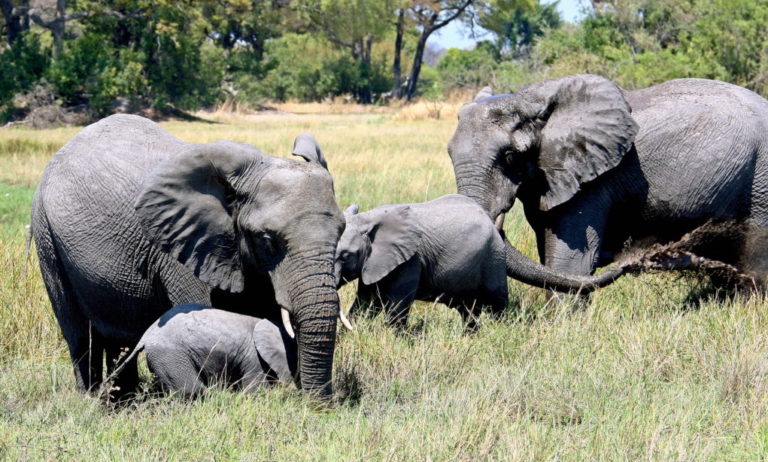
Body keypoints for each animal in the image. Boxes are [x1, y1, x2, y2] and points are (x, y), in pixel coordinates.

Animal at [336, 193, 510, 330]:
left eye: (346, 255)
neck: (367, 219)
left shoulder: (411, 260)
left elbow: (398, 304)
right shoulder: (374, 263)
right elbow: (367, 299)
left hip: (494, 256)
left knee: (496, 303)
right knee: (468, 310)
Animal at [448, 75, 768, 284]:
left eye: (510, 156)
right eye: (449, 153)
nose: (641, 259)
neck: (530, 100)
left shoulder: (593, 183)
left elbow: (570, 263)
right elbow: (549, 259)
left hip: (762, 177)